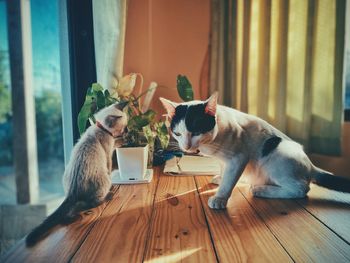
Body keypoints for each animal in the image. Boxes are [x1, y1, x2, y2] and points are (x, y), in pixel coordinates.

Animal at [25, 102, 128, 246]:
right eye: (123, 127)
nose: (127, 131)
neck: (101, 128)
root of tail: (72, 192)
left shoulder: (112, 143)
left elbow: (117, 142)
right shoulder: (108, 152)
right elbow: (110, 162)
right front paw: (125, 138)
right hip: (104, 180)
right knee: (93, 202)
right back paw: (109, 195)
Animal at [160, 93, 350, 210]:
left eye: (196, 131)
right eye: (177, 133)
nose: (186, 147)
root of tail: (310, 165)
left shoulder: (238, 158)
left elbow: (229, 181)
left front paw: (220, 198)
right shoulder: (223, 160)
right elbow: (224, 170)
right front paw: (220, 177)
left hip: (277, 155)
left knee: (301, 189)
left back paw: (261, 190)